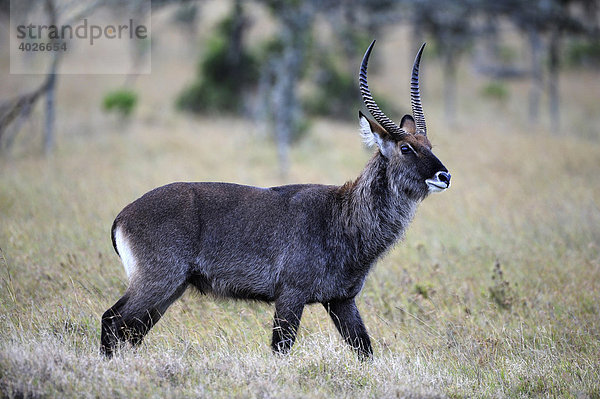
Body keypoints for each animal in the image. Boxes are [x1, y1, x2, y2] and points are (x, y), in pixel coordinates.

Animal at [102, 40, 450, 360]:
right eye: (406, 148)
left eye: (430, 145)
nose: (444, 175)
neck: (341, 216)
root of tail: (122, 216)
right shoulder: (290, 295)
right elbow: (281, 348)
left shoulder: (342, 300)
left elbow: (364, 349)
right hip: (158, 281)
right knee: (112, 320)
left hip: (171, 289)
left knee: (131, 332)